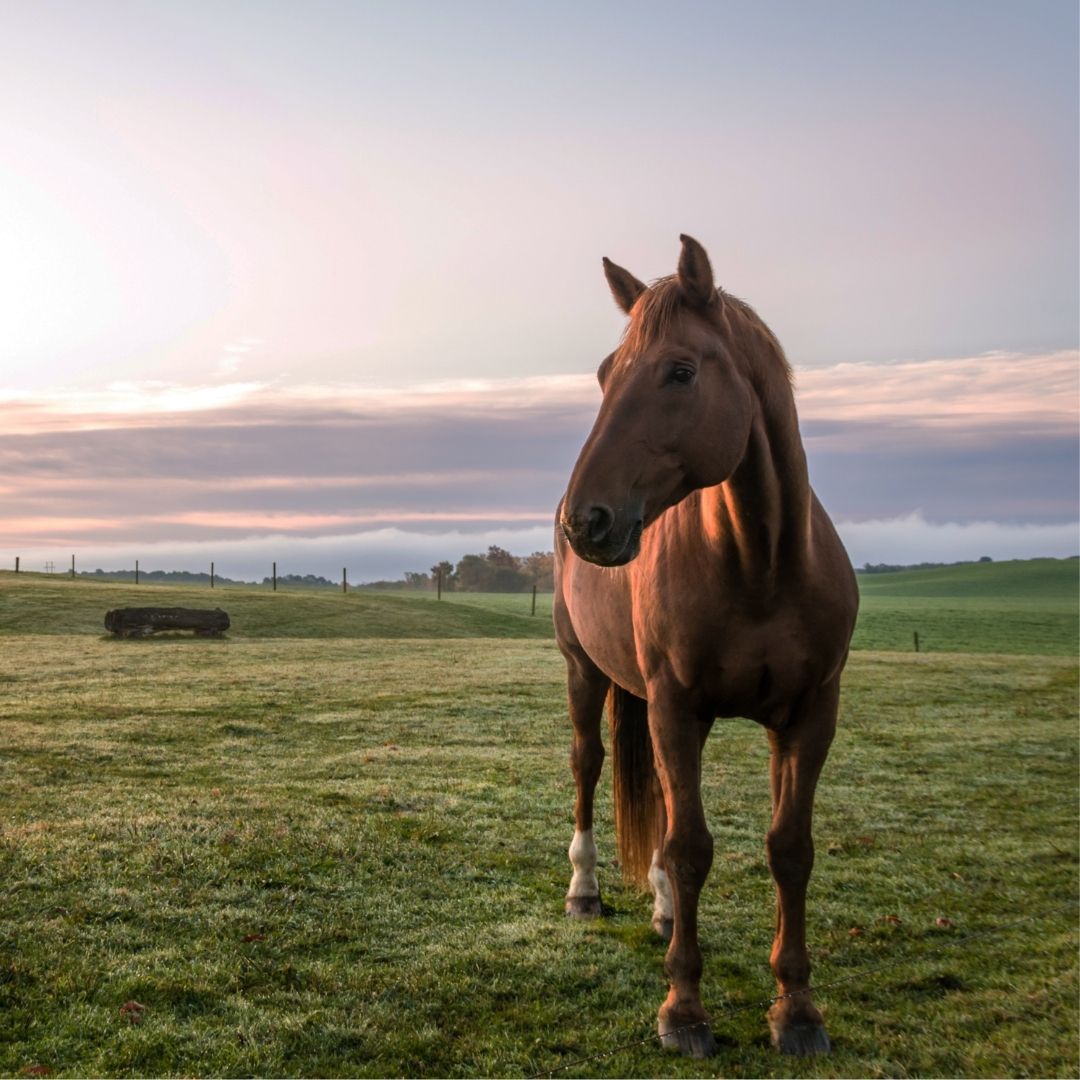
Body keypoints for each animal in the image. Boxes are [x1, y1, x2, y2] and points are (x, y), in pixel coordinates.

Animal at [554, 234, 858, 1058]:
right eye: (605, 373)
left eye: (681, 371)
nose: (584, 521)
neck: (761, 564)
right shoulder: (675, 707)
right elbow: (691, 849)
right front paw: (684, 1010)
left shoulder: (810, 715)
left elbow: (789, 848)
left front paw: (797, 1008)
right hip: (586, 673)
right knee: (589, 767)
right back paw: (585, 891)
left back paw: (661, 912)